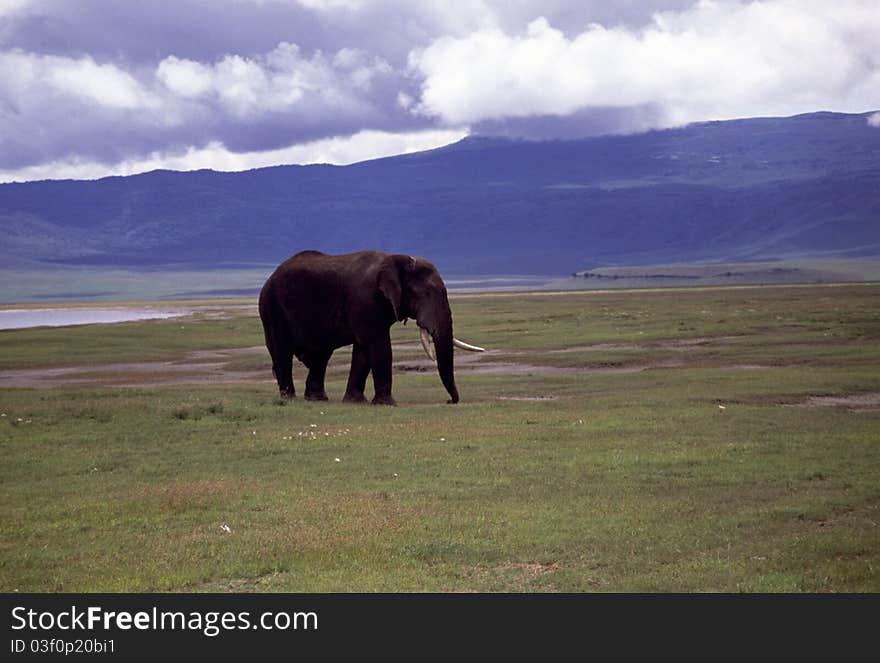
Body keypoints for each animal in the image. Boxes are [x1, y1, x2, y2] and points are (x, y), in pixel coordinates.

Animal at [258, 250, 484, 402]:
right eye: (427, 293)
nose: (449, 400)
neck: (397, 259)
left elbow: (364, 350)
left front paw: (356, 402)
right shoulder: (365, 299)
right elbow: (378, 345)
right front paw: (386, 404)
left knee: (321, 356)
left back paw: (316, 399)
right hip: (271, 308)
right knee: (282, 352)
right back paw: (289, 398)